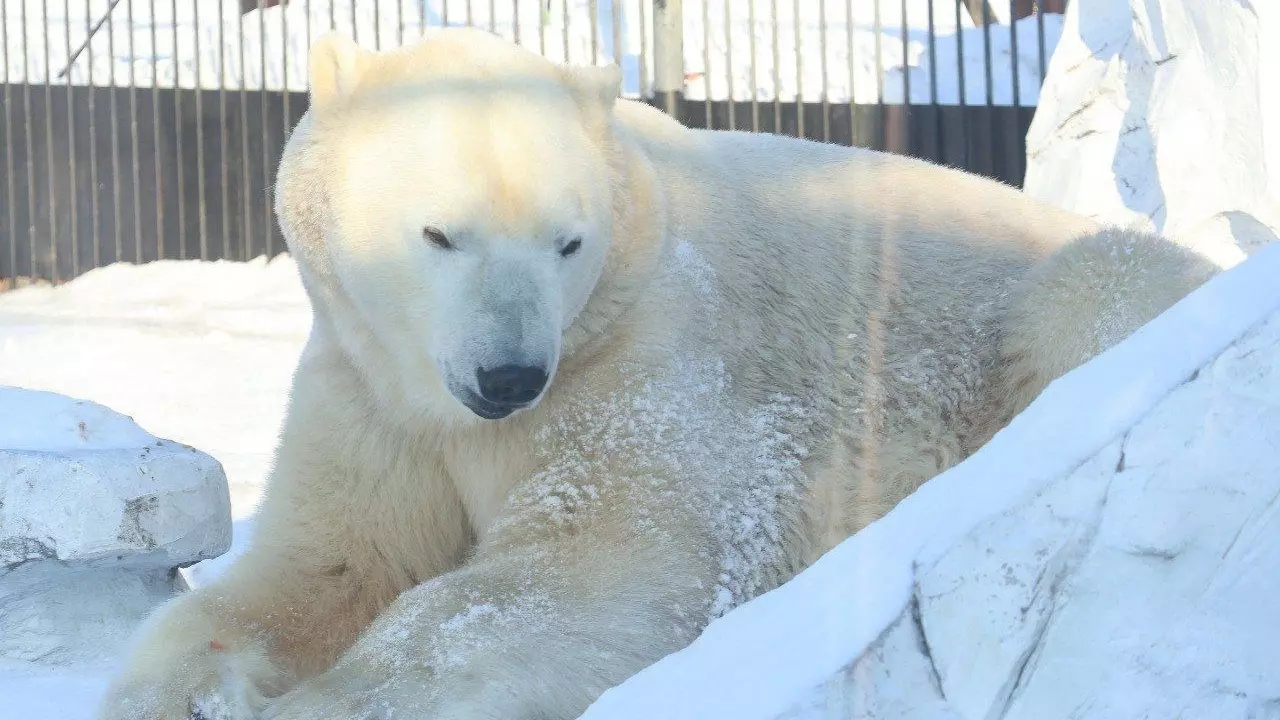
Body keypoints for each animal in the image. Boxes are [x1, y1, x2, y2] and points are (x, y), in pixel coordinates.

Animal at [94, 25, 1213, 717]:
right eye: (439, 233)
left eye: (568, 242)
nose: (510, 376)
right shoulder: (373, 388)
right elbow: (324, 568)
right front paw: (189, 689)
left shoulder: (639, 355)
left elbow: (593, 565)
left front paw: (327, 700)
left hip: (1063, 290)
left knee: (1095, 293)